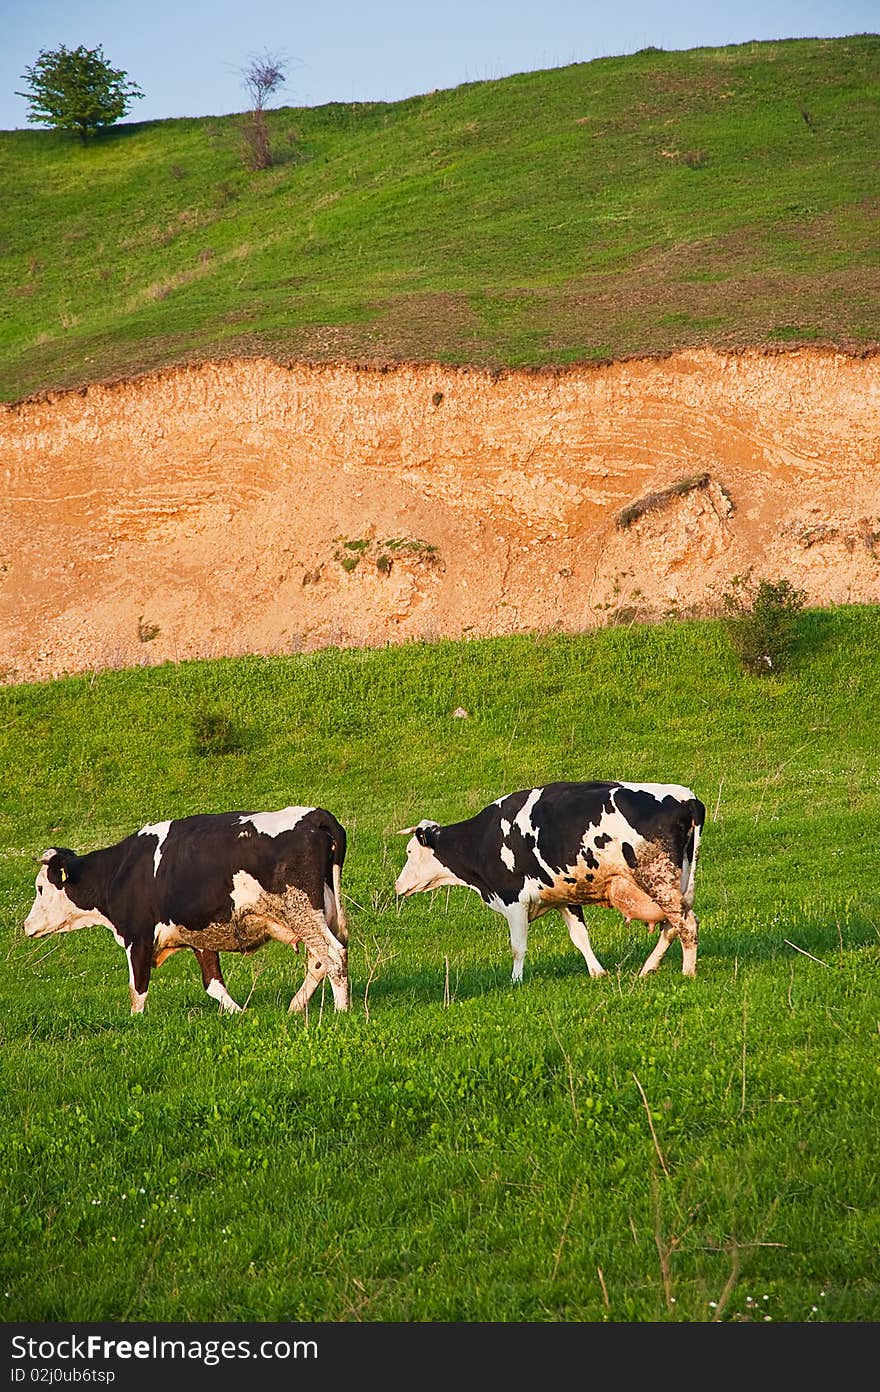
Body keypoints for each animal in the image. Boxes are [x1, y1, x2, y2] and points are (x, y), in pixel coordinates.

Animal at [24, 801, 346, 1018]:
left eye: (40, 888)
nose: (26, 925)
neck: (121, 871)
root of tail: (314, 814)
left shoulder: (137, 937)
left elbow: (137, 989)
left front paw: (136, 1023)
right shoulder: (199, 934)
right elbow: (213, 983)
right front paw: (238, 1013)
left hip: (302, 912)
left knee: (334, 956)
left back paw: (341, 1010)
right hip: (320, 914)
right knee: (320, 960)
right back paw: (295, 1006)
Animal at [395, 779, 704, 985]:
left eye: (409, 852)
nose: (397, 885)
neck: (482, 840)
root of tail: (686, 798)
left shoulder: (513, 899)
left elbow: (517, 946)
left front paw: (516, 981)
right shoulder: (564, 896)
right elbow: (580, 938)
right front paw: (597, 972)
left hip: (658, 878)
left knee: (686, 924)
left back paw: (687, 972)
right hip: (674, 883)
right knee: (672, 926)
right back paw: (647, 969)